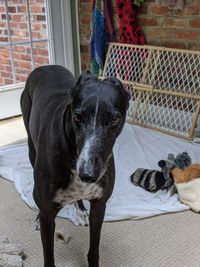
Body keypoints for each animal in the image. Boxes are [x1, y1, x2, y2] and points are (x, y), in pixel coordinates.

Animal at [20, 65, 130, 267]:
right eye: (77, 116)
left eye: (115, 118)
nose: (88, 174)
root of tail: (45, 67)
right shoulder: (48, 214)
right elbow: (48, 257)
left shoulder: (99, 206)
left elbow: (94, 250)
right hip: (32, 148)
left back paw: (80, 209)